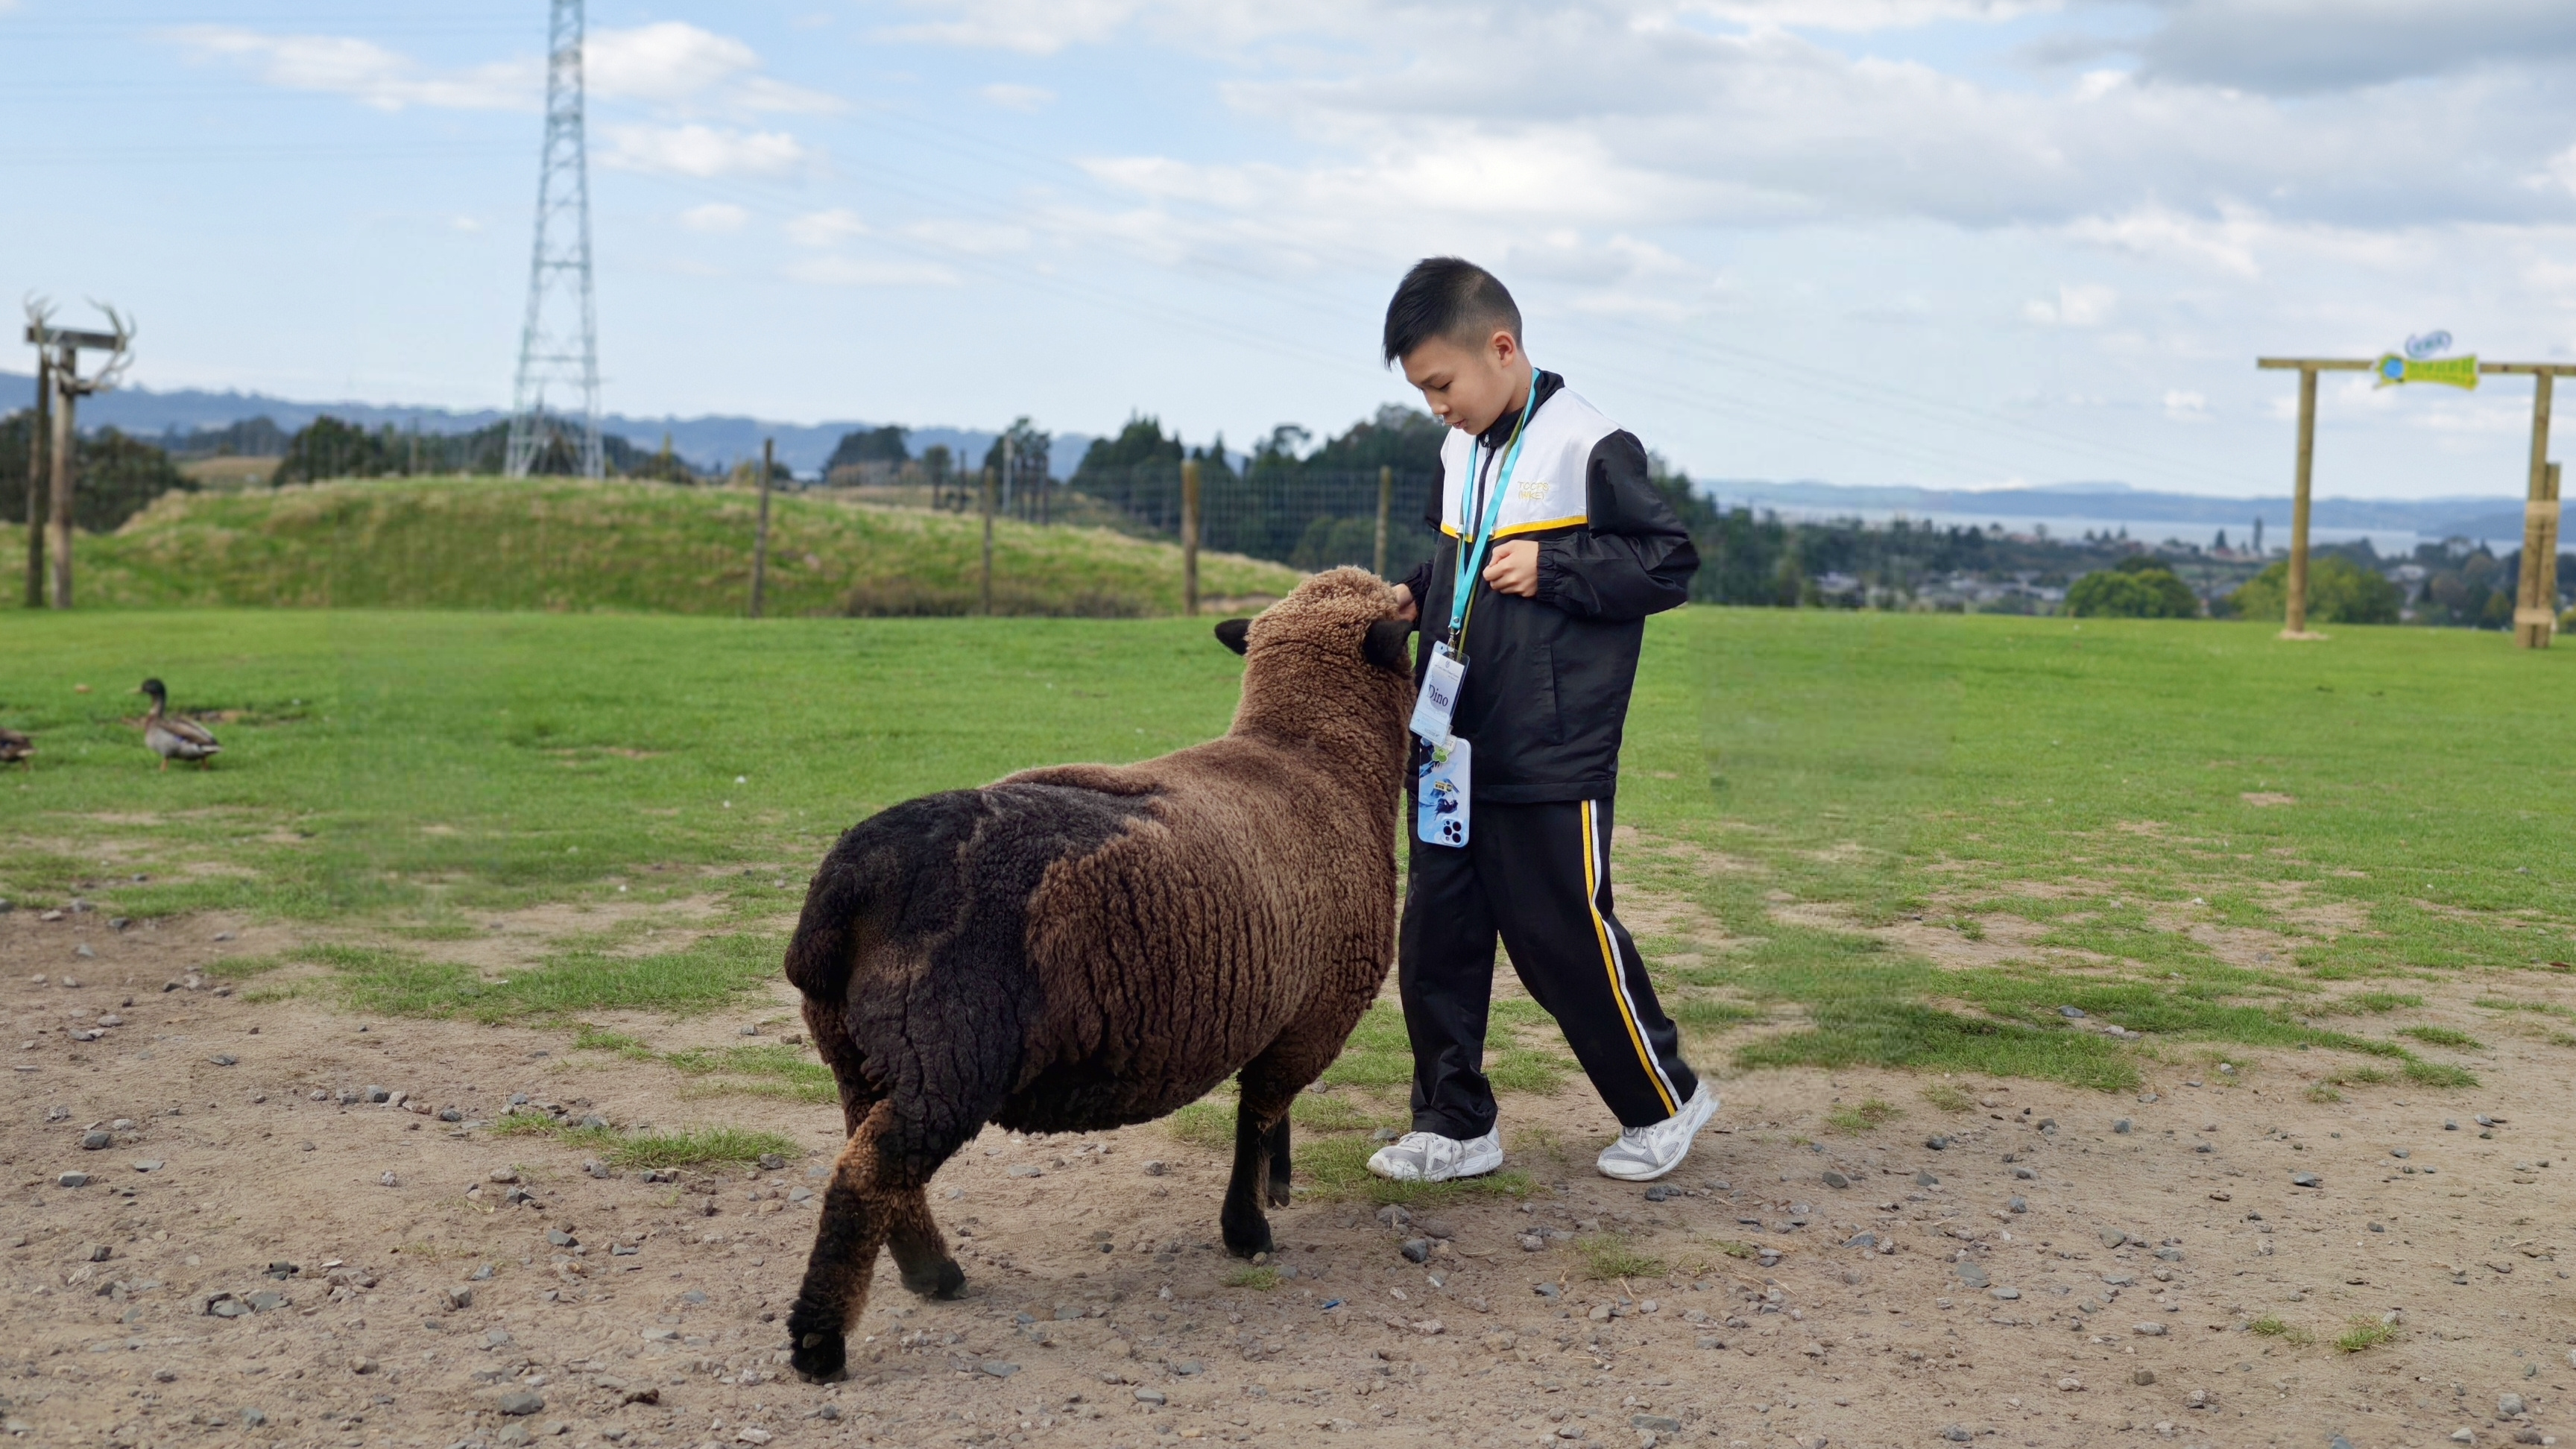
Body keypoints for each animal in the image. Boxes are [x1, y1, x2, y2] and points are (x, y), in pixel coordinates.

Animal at [779, 566, 1415, 1381]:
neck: (1310, 756)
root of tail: (846, 885)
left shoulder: (1287, 1009)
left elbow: (1271, 1115)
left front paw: (1276, 1186)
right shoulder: (1317, 1014)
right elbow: (1257, 1113)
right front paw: (1246, 1230)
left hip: (857, 1053)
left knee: (872, 1161)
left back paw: (932, 1274)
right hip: (948, 1057)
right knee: (866, 1178)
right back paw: (822, 1340)